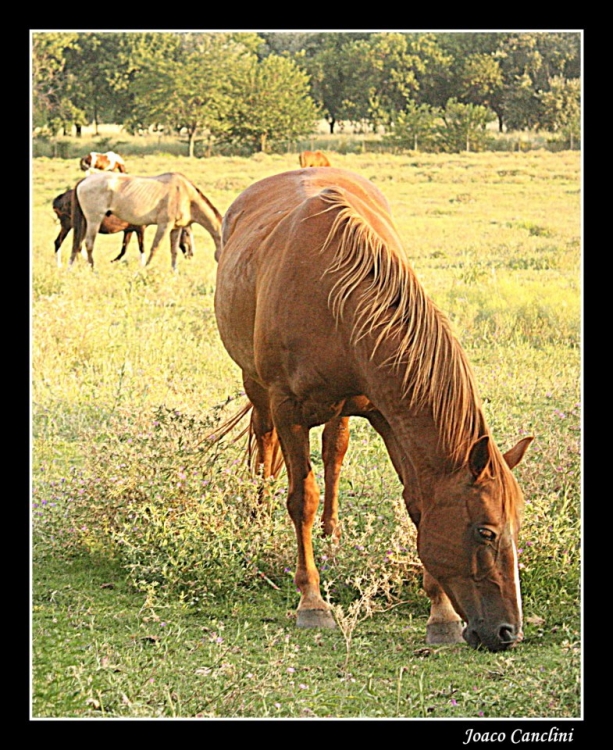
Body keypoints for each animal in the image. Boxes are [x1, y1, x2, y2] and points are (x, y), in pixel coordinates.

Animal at [51, 189, 192, 268]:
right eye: (187, 234)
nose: (191, 254)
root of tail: (60, 198)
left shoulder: (128, 231)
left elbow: (124, 249)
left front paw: (113, 261)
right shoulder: (140, 229)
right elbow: (142, 248)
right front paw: (142, 266)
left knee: (72, 245)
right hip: (69, 225)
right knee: (60, 242)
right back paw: (62, 265)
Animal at [71, 171, 222, 270]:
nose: (191, 255)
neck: (186, 196)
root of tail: (83, 181)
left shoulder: (175, 228)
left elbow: (174, 251)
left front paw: (174, 272)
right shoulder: (164, 225)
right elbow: (155, 247)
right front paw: (146, 269)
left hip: (85, 222)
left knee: (78, 244)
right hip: (94, 220)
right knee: (89, 244)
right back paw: (93, 269)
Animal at [215, 166, 532, 652]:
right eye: (486, 531)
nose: (507, 632)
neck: (332, 297)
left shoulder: (385, 412)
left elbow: (417, 504)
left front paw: (440, 614)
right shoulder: (287, 408)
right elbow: (301, 498)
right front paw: (312, 602)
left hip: (340, 407)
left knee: (334, 450)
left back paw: (331, 533)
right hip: (256, 387)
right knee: (264, 443)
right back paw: (259, 512)